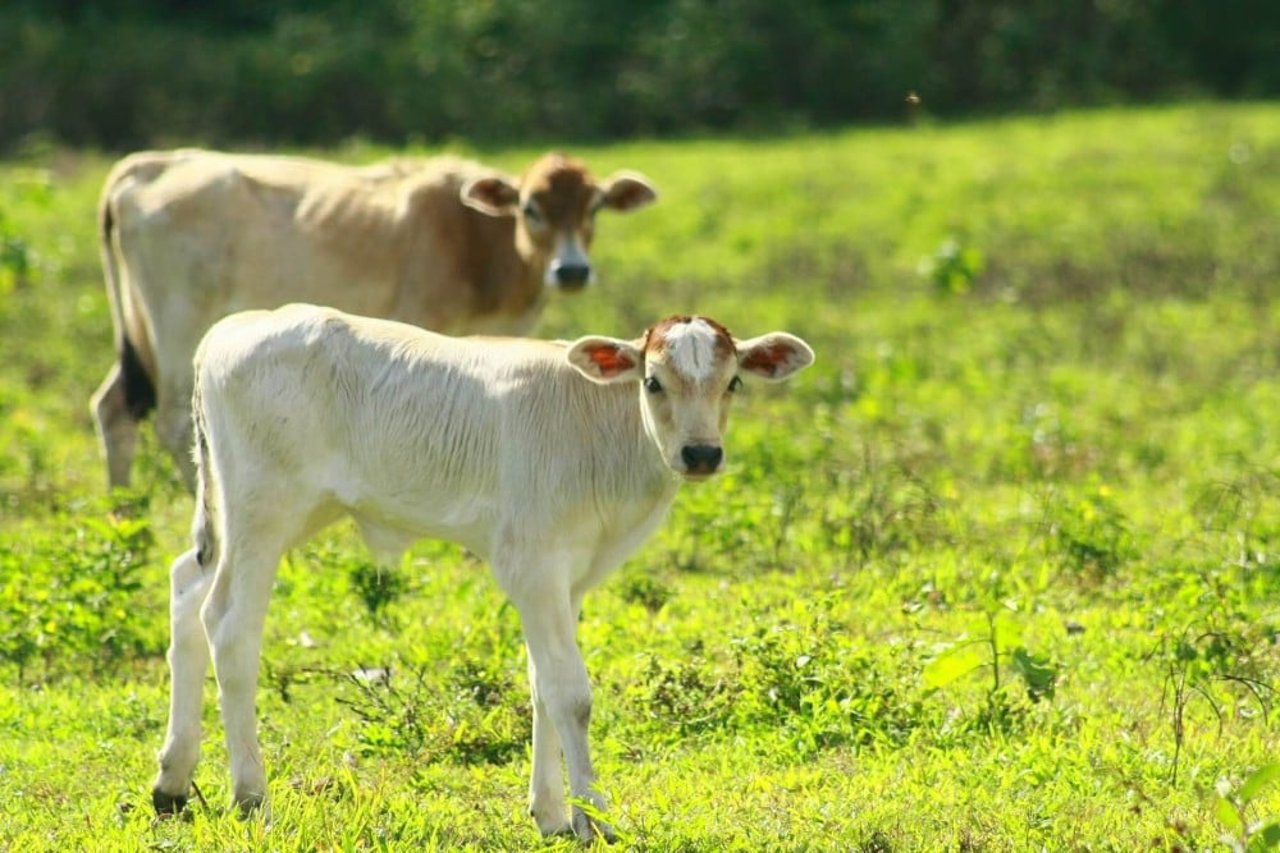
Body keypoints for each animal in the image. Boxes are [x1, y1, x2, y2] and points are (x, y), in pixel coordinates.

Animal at [87, 149, 660, 489]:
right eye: (531, 207)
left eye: (594, 208)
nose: (572, 270)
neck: (476, 240)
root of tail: (149, 164)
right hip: (179, 326)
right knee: (174, 422)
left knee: (114, 409)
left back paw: (125, 513)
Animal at [149, 303, 808, 835]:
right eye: (652, 382)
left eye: (733, 382)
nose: (701, 453)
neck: (597, 431)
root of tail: (233, 327)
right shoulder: (532, 565)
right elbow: (571, 693)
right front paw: (593, 817)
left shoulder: (568, 578)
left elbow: (542, 684)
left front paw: (551, 814)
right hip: (262, 511)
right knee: (230, 626)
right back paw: (250, 795)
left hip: (263, 514)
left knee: (186, 587)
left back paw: (173, 782)